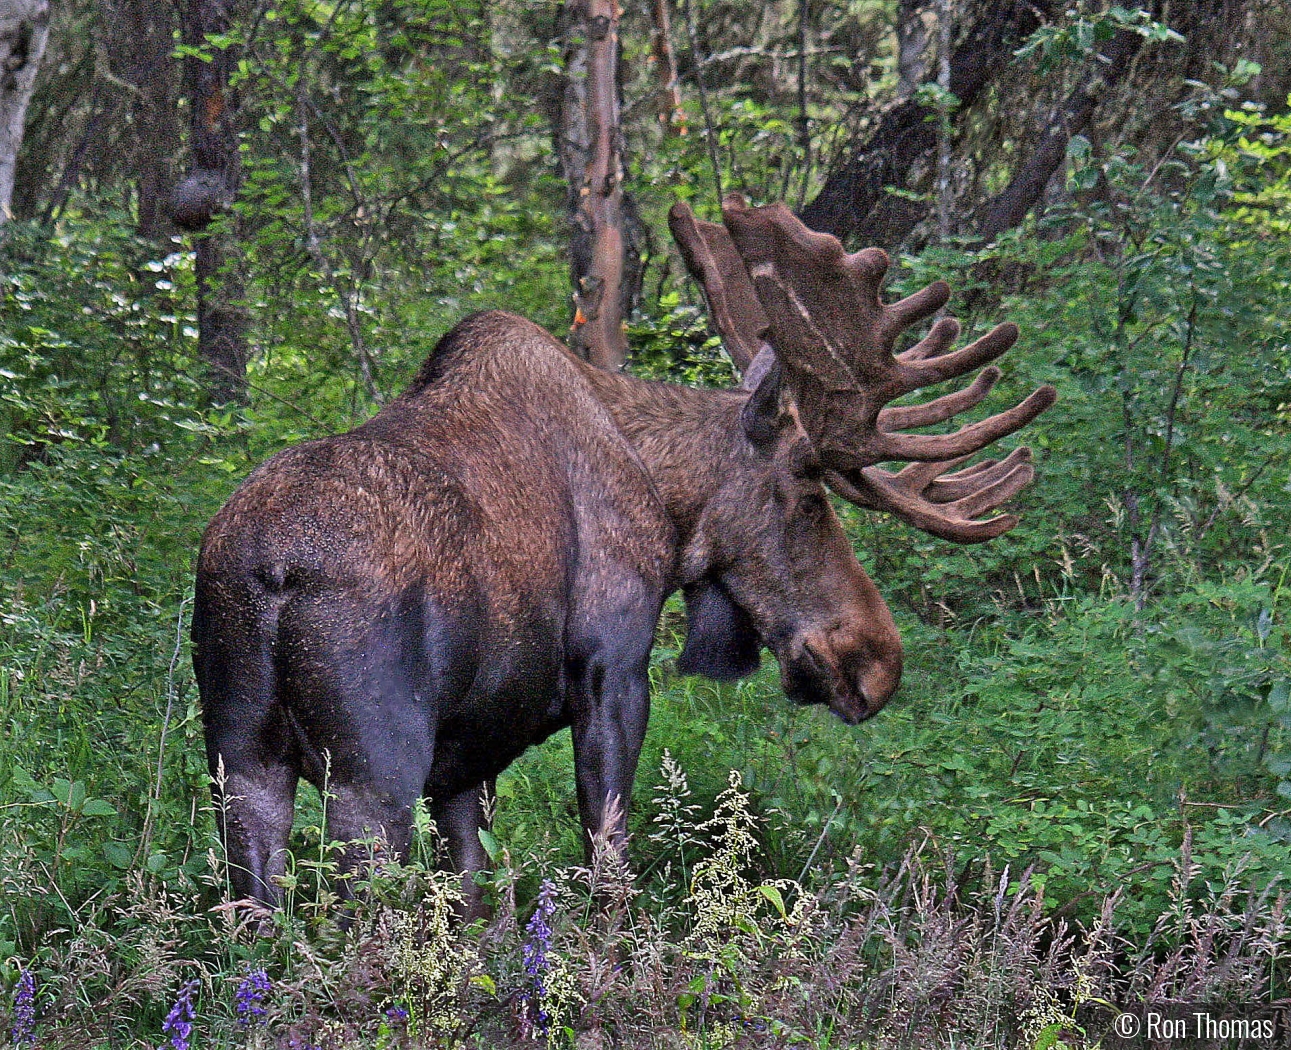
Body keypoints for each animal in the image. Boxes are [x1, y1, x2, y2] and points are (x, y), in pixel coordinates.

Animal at [193, 198, 1058, 909]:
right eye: (807, 494)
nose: (877, 660)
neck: (664, 496)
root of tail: (270, 575)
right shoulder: (612, 666)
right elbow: (608, 860)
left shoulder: (466, 755)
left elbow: (476, 893)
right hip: (372, 771)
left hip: (239, 760)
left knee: (253, 920)